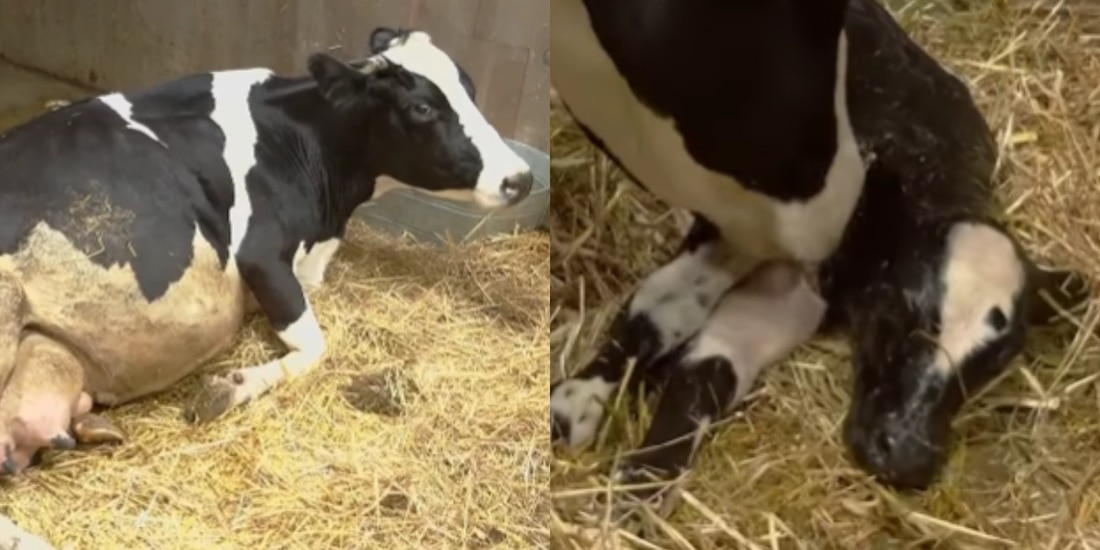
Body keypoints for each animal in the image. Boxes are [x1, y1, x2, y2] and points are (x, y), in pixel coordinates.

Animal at [0, 27, 534, 475]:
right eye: (422, 108)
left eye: (470, 90)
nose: (521, 178)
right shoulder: (260, 253)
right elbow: (315, 346)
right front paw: (229, 387)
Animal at [549, 0, 1086, 516]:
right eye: (905, 307)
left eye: (1000, 358)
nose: (906, 455)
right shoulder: (753, 222)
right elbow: (661, 311)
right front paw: (574, 408)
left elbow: (707, 368)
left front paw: (645, 479)